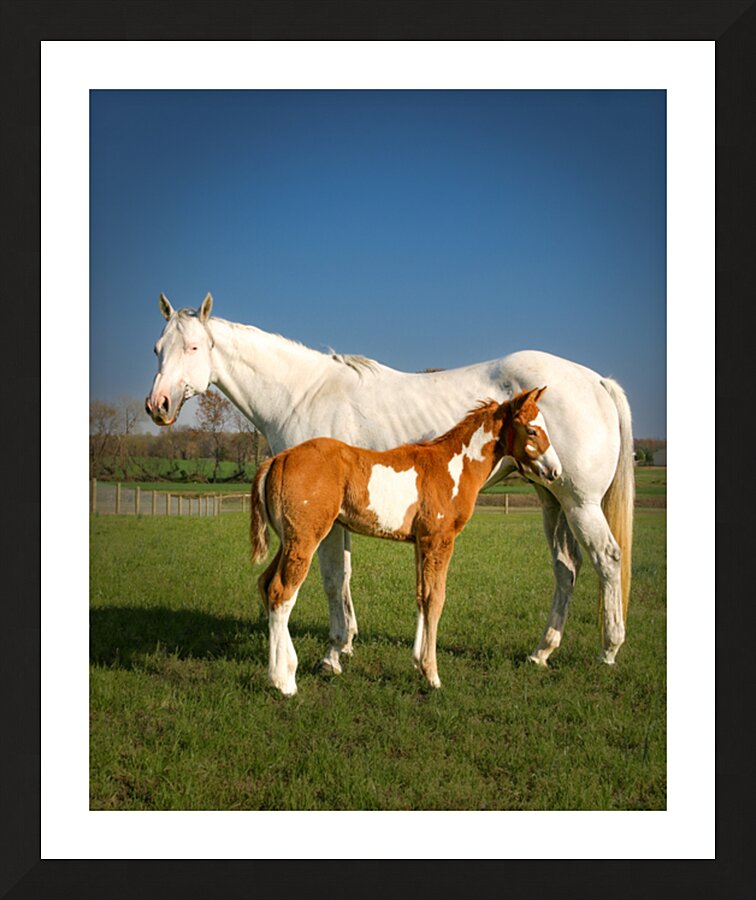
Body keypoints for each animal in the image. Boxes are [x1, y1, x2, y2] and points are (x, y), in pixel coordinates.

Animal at [250, 389, 561, 695]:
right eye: (532, 430)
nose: (555, 472)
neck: (452, 467)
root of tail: (277, 459)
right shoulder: (439, 540)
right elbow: (436, 599)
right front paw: (432, 675)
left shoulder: (421, 543)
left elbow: (421, 596)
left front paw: (417, 663)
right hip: (304, 540)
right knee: (281, 592)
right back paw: (285, 681)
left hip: (288, 542)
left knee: (266, 584)